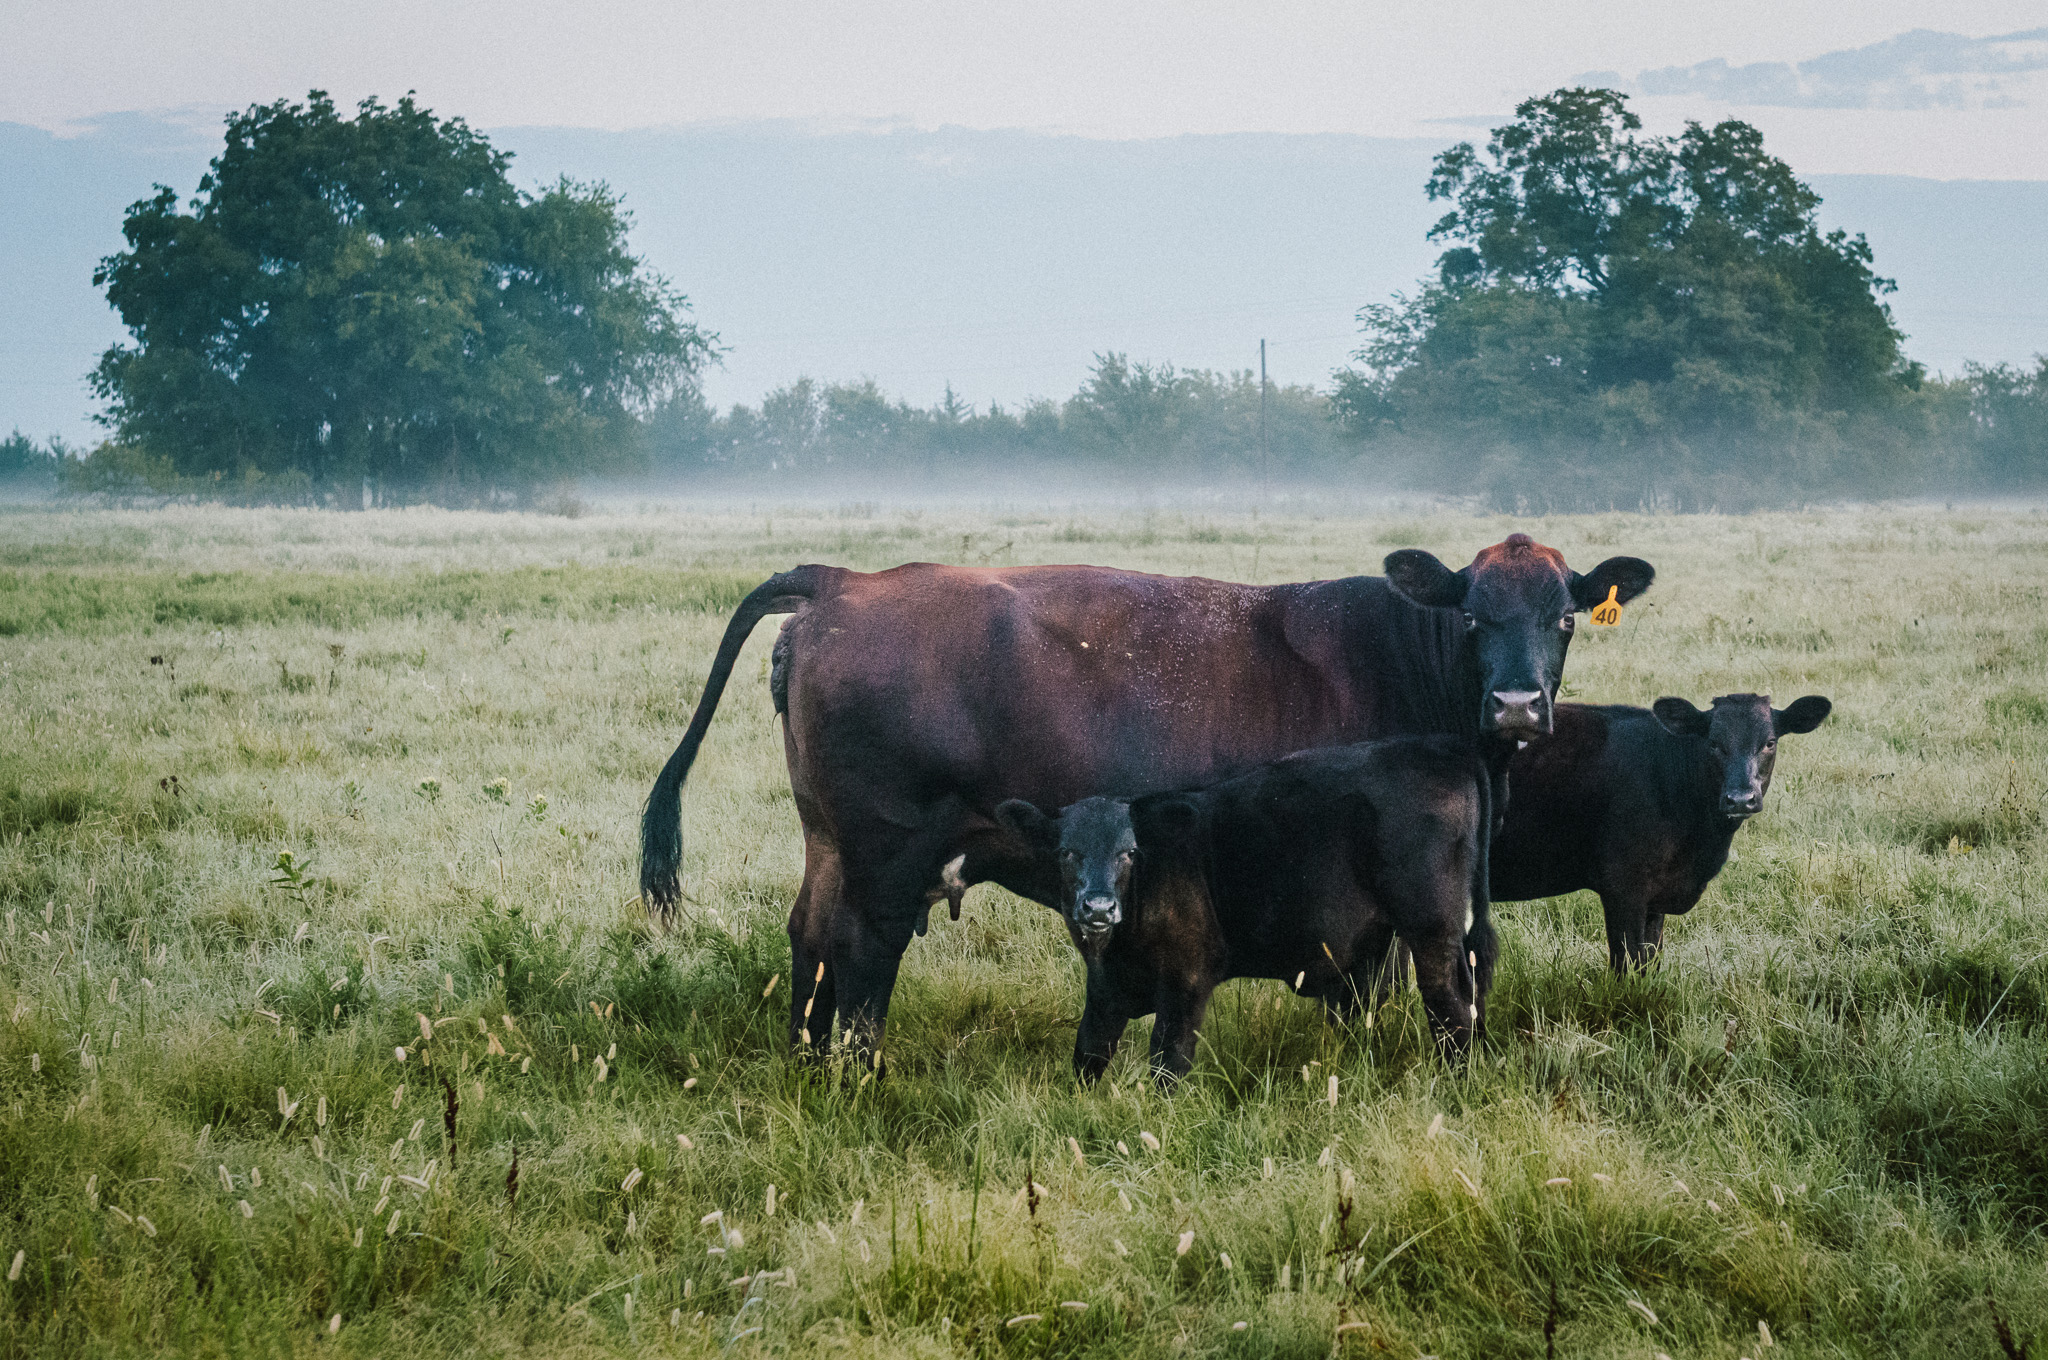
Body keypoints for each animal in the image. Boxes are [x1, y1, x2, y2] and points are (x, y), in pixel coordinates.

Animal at [993, 735, 1495, 1085]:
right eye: (1066, 852)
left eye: (1130, 853)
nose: (1098, 907)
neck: (1117, 948)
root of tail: (1446, 749)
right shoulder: (1104, 991)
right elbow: (1087, 1058)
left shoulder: (1188, 980)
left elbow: (1168, 1062)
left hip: (1430, 928)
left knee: (1449, 1004)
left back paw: (1458, 1081)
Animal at [1490, 693, 1832, 971]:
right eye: (1713, 743)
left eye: (1770, 742)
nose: (1740, 798)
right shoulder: (1623, 887)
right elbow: (1628, 965)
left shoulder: (1655, 899)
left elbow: (1650, 961)